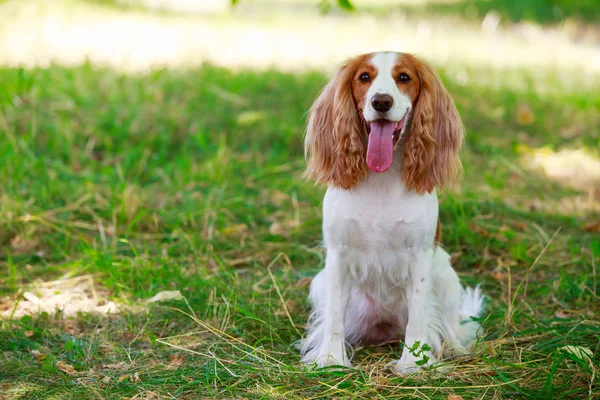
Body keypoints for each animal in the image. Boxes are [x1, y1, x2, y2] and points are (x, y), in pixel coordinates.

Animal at [300, 51, 482, 374]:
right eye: (364, 77)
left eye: (404, 77)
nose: (381, 101)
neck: (381, 180)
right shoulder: (337, 255)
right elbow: (333, 317)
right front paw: (331, 359)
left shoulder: (420, 256)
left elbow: (419, 317)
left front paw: (413, 364)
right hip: (319, 283)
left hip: (446, 276)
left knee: (449, 327)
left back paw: (455, 349)